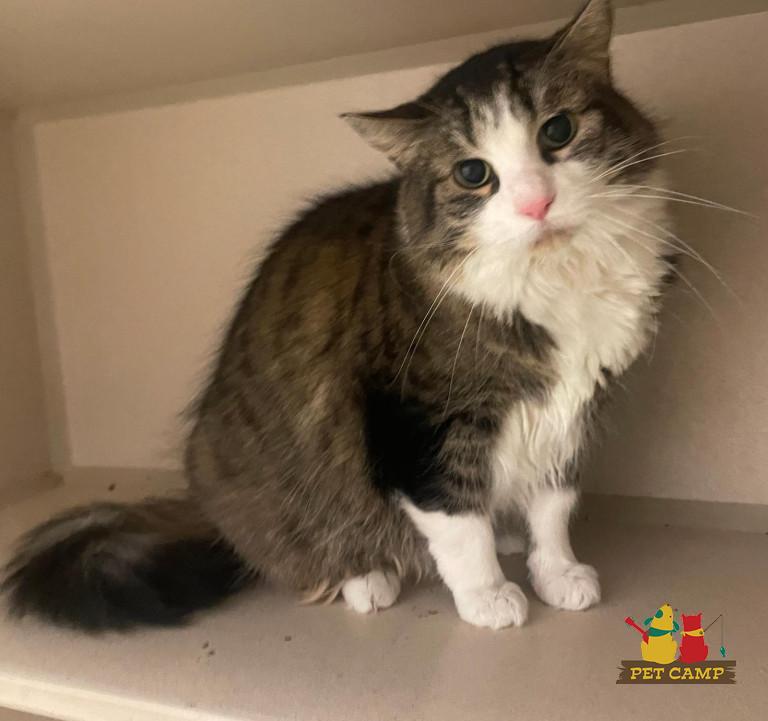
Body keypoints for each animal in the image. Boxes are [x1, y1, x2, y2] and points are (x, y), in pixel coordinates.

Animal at [2, 0, 674, 631]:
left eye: (557, 131)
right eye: (473, 173)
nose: (537, 202)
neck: (558, 283)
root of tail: (205, 501)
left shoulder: (571, 417)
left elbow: (553, 512)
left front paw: (558, 574)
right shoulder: (418, 422)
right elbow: (459, 525)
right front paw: (488, 597)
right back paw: (367, 580)